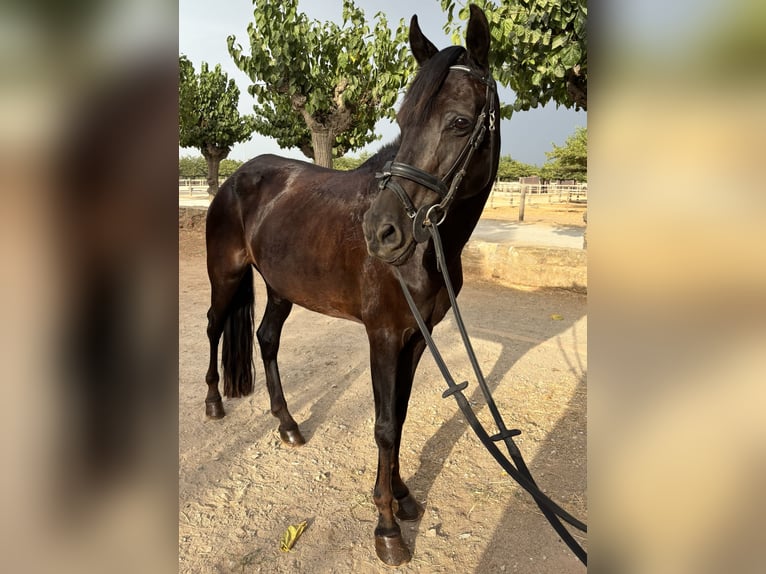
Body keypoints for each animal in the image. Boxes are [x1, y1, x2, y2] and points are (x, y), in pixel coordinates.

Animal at [204, 5, 500, 566]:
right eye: (404, 122)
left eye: (459, 123)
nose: (382, 232)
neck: (427, 251)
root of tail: (236, 177)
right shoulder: (382, 336)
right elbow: (383, 426)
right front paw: (387, 527)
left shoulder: (417, 338)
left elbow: (399, 417)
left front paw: (403, 497)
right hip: (225, 275)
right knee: (213, 328)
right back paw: (212, 402)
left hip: (281, 288)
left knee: (266, 339)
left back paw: (287, 424)